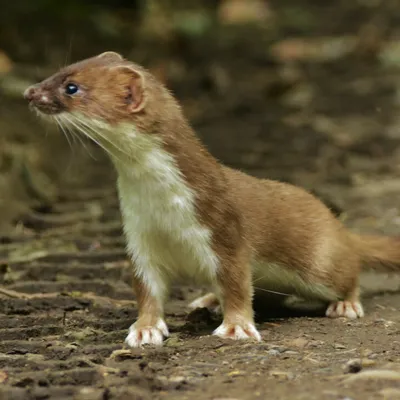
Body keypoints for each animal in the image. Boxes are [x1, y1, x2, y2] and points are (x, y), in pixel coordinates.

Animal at [24, 52, 400, 346]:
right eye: (61, 69)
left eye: (72, 87)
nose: (29, 92)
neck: (159, 204)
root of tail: (338, 226)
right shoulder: (138, 236)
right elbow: (146, 289)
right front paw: (145, 330)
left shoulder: (222, 226)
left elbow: (235, 283)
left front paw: (236, 326)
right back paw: (206, 300)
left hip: (321, 263)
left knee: (349, 272)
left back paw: (345, 305)